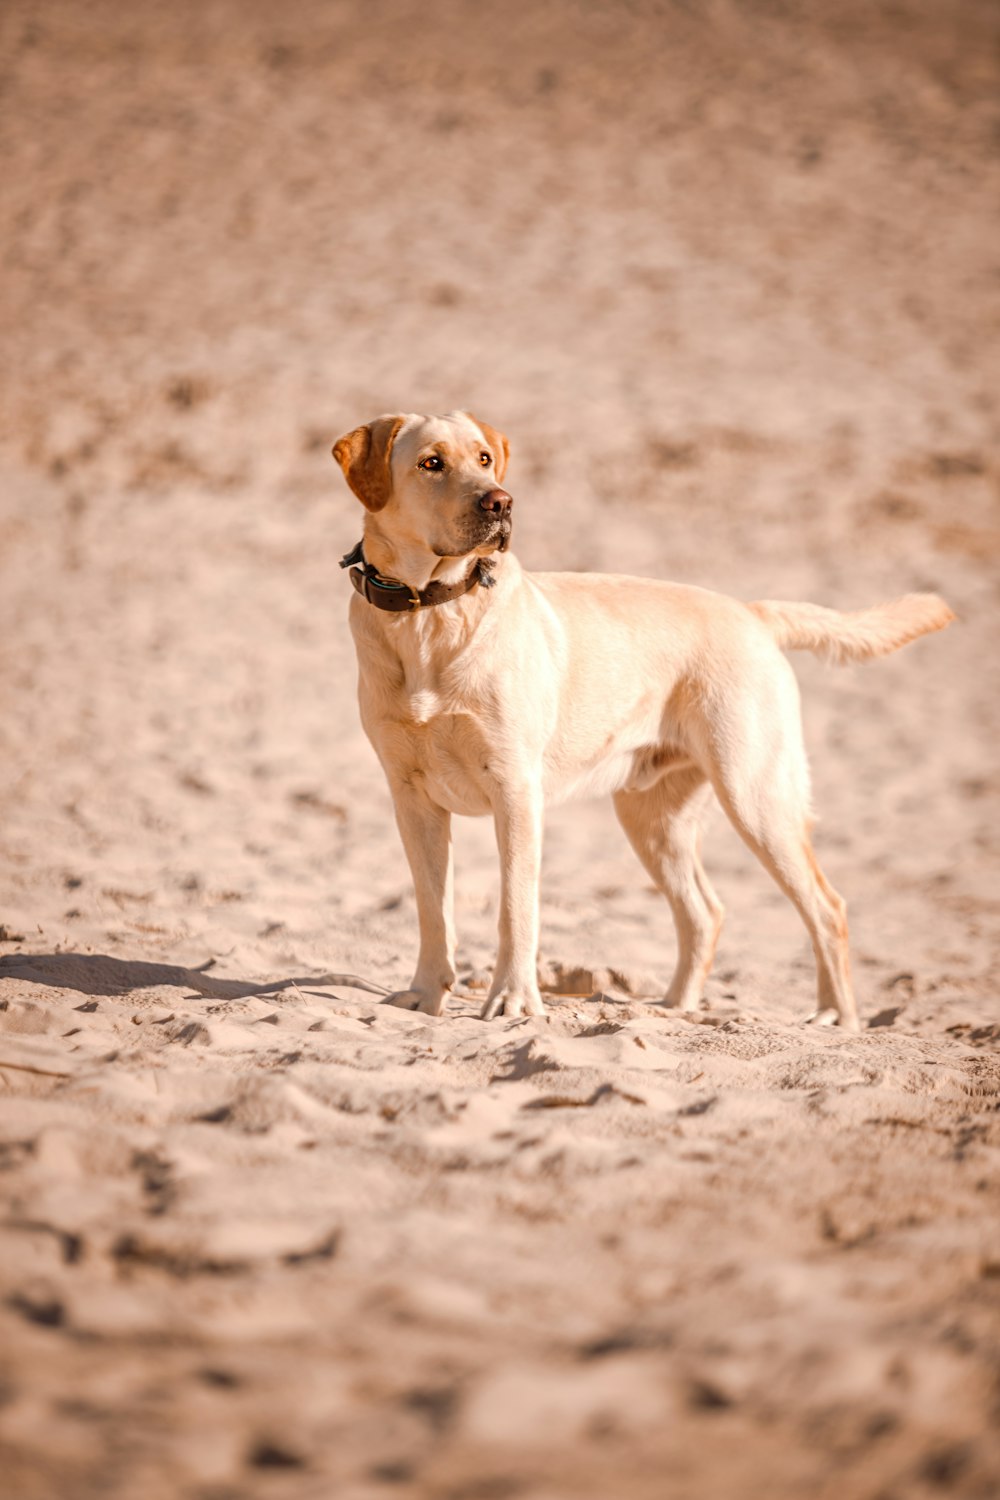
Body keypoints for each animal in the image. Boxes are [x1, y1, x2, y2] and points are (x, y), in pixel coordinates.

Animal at [332, 414, 959, 1032]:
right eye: (431, 463)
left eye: (484, 458)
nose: (501, 502)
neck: (428, 614)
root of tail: (751, 612)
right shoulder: (411, 798)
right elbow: (431, 907)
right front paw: (423, 995)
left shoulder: (515, 790)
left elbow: (515, 908)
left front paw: (513, 1001)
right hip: (653, 817)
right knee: (705, 913)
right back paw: (674, 1009)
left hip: (755, 796)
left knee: (827, 908)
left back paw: (836, 1017)